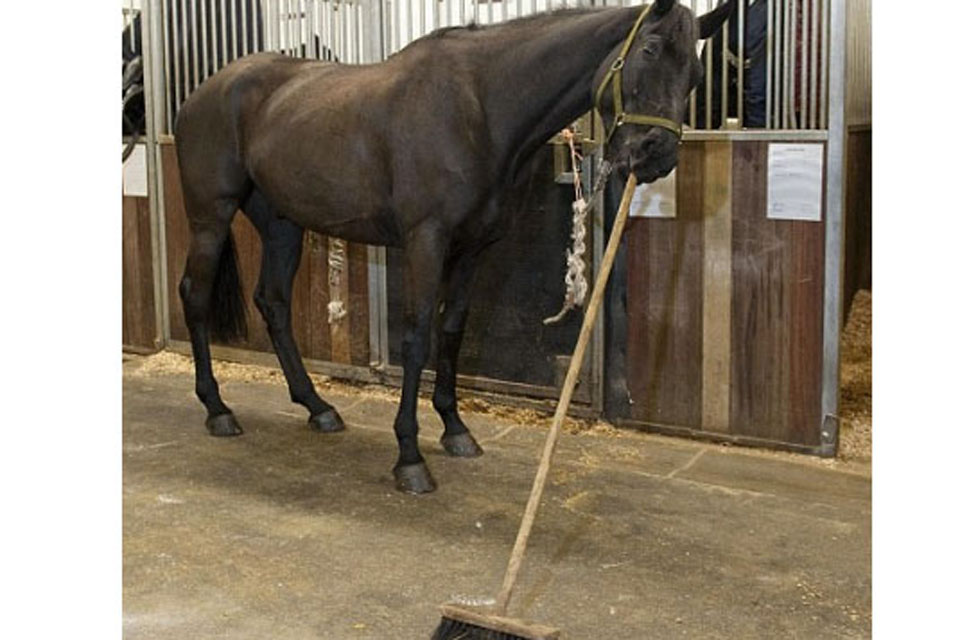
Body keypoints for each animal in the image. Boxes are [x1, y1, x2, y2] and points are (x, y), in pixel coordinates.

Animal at [172, 0, 732, 496]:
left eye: (696, 73)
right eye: (650, 50)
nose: (654, 155)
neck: (480, 107)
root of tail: (206, 91)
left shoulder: (473, 248)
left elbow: (452, 329)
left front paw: (455, 429)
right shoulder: (427, 240)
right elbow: (418, 335)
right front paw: (410, 458)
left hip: (283, 224)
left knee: (273, 303)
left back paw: (318, 407)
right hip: (211, 217)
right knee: (195, 296)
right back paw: (218, 410)